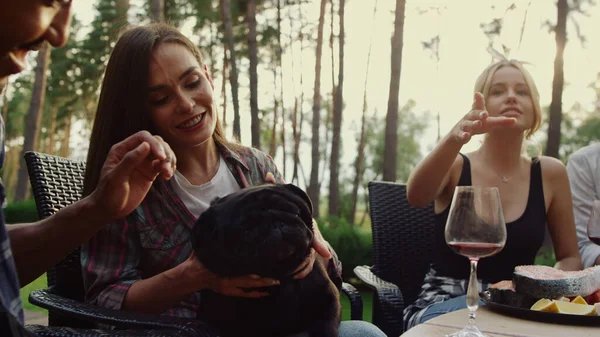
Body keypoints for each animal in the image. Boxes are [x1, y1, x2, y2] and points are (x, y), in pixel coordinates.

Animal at [192, 184, 342, 336]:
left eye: (296, 214)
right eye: (247, 230)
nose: (277, 224)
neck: (281, 277)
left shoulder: (327, 297)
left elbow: (326, 325)